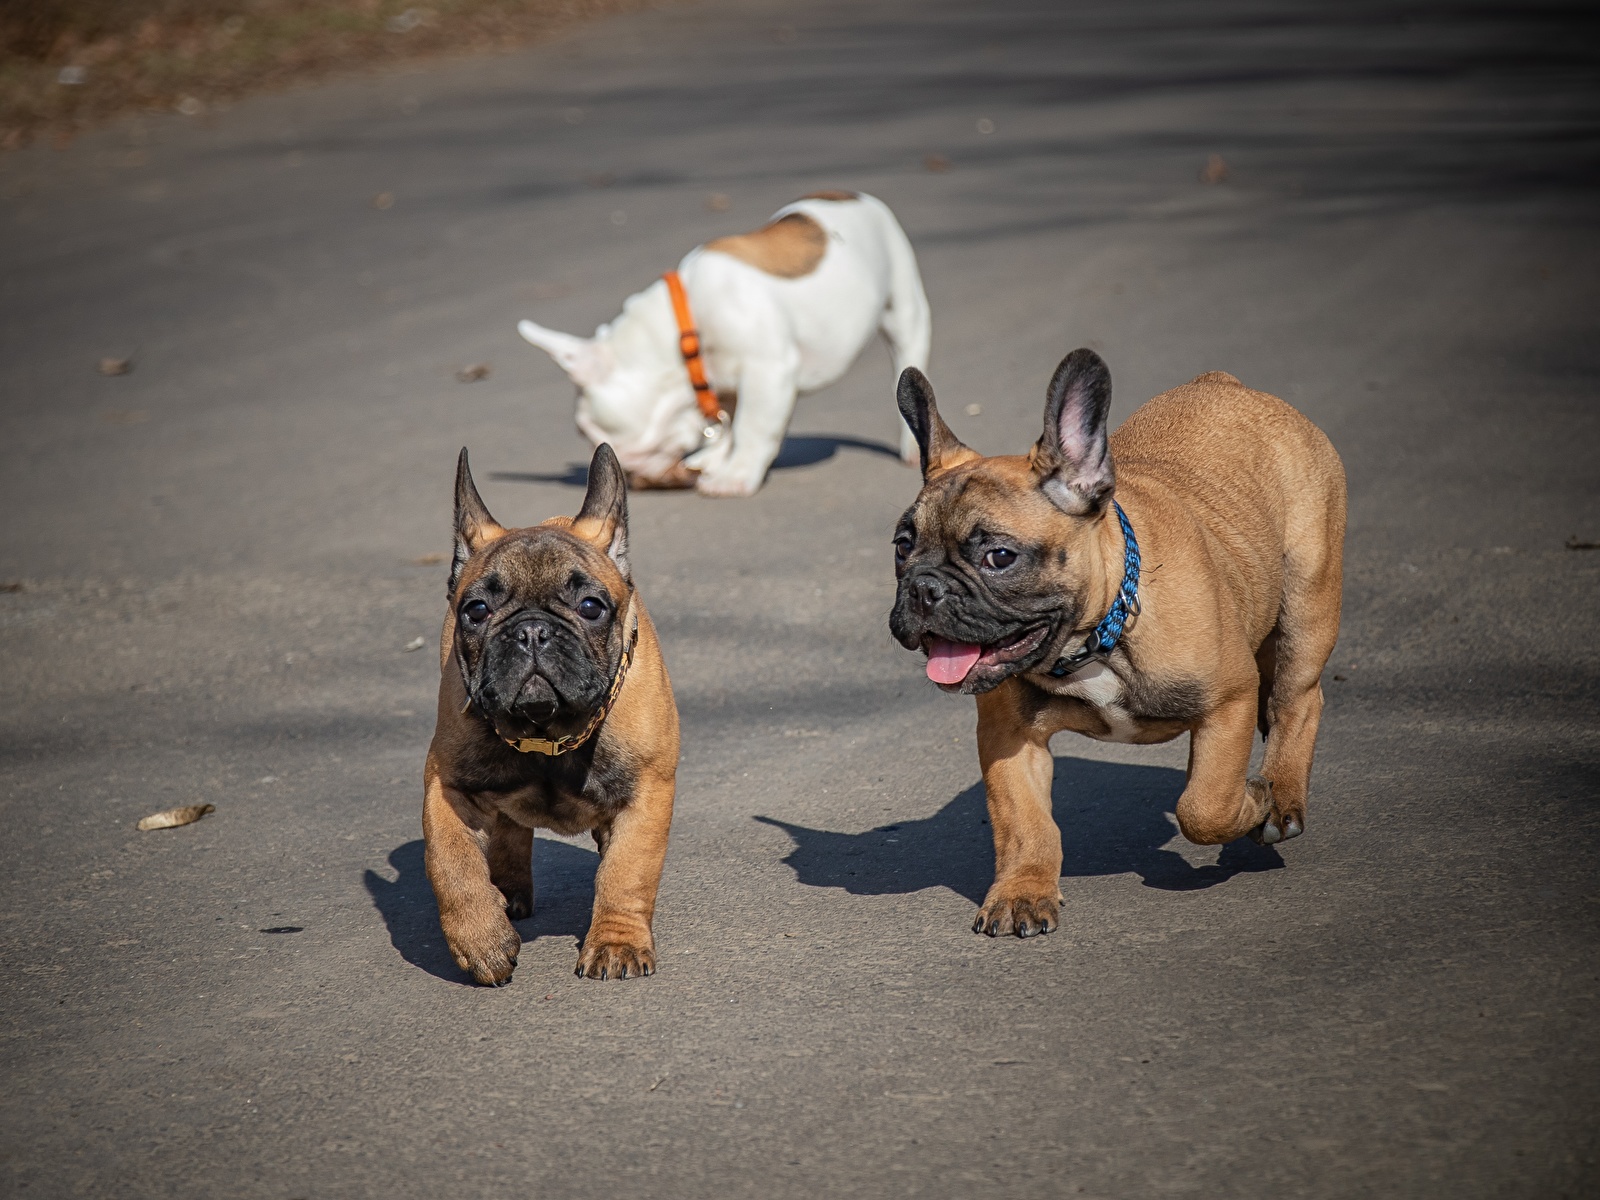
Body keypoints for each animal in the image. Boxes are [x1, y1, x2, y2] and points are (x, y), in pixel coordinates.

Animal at [518, 191, 934, 499]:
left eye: (587, 433)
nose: (634, 479)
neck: (681, 336)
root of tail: (854, 195)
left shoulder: (768, 369)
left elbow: (752, 426)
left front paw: (735, 476)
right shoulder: (725, 383)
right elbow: (729, 422)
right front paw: (716, 459)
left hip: (903, 301)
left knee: (908, 354)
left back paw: (914, 446)